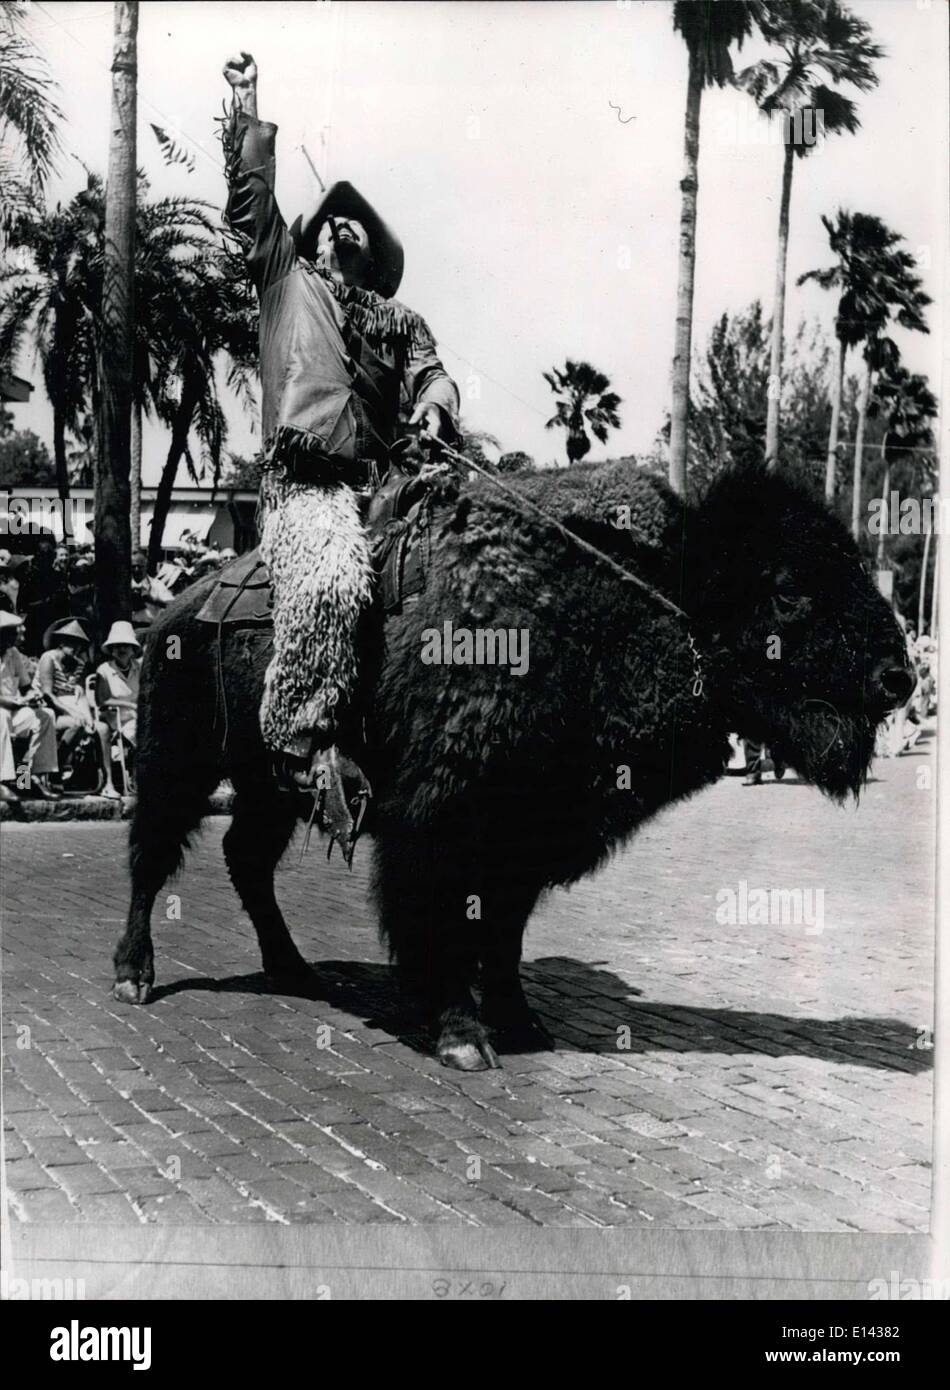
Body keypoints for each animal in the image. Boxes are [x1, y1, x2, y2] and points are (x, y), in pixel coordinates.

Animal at [109, 461, 912, 1067]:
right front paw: (463, 1037)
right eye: (787, 590)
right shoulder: (437, 824)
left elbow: (503, 934)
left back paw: (291, 968)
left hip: (269, 783)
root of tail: (174, 609)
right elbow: (435, 919)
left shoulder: (524, 837)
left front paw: (522, 1023)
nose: (898, 678)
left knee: (245, 858)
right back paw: (134, 976)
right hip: (177, 762)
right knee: (153, 855)